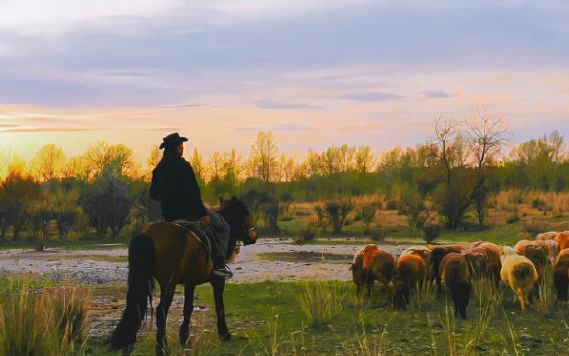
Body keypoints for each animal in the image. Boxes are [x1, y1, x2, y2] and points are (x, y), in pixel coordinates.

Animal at [107, 196, 258, 354]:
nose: (254, 236)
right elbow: (219, 305)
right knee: (161, 311)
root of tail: (148, 234)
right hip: (169, 283)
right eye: (245, 214)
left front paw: (185, 339)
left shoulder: (190, 282)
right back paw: (161, 349)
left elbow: (188, 308)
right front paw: (225, 334)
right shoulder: (218, 279)